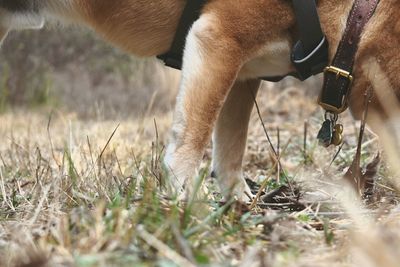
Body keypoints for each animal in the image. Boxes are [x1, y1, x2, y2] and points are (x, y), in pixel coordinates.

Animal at [0, 1, 400, 200]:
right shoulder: (217, 40)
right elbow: (189, 145)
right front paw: (187, 207)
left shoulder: (243, 76)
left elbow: (230, 152)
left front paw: (238, 204)